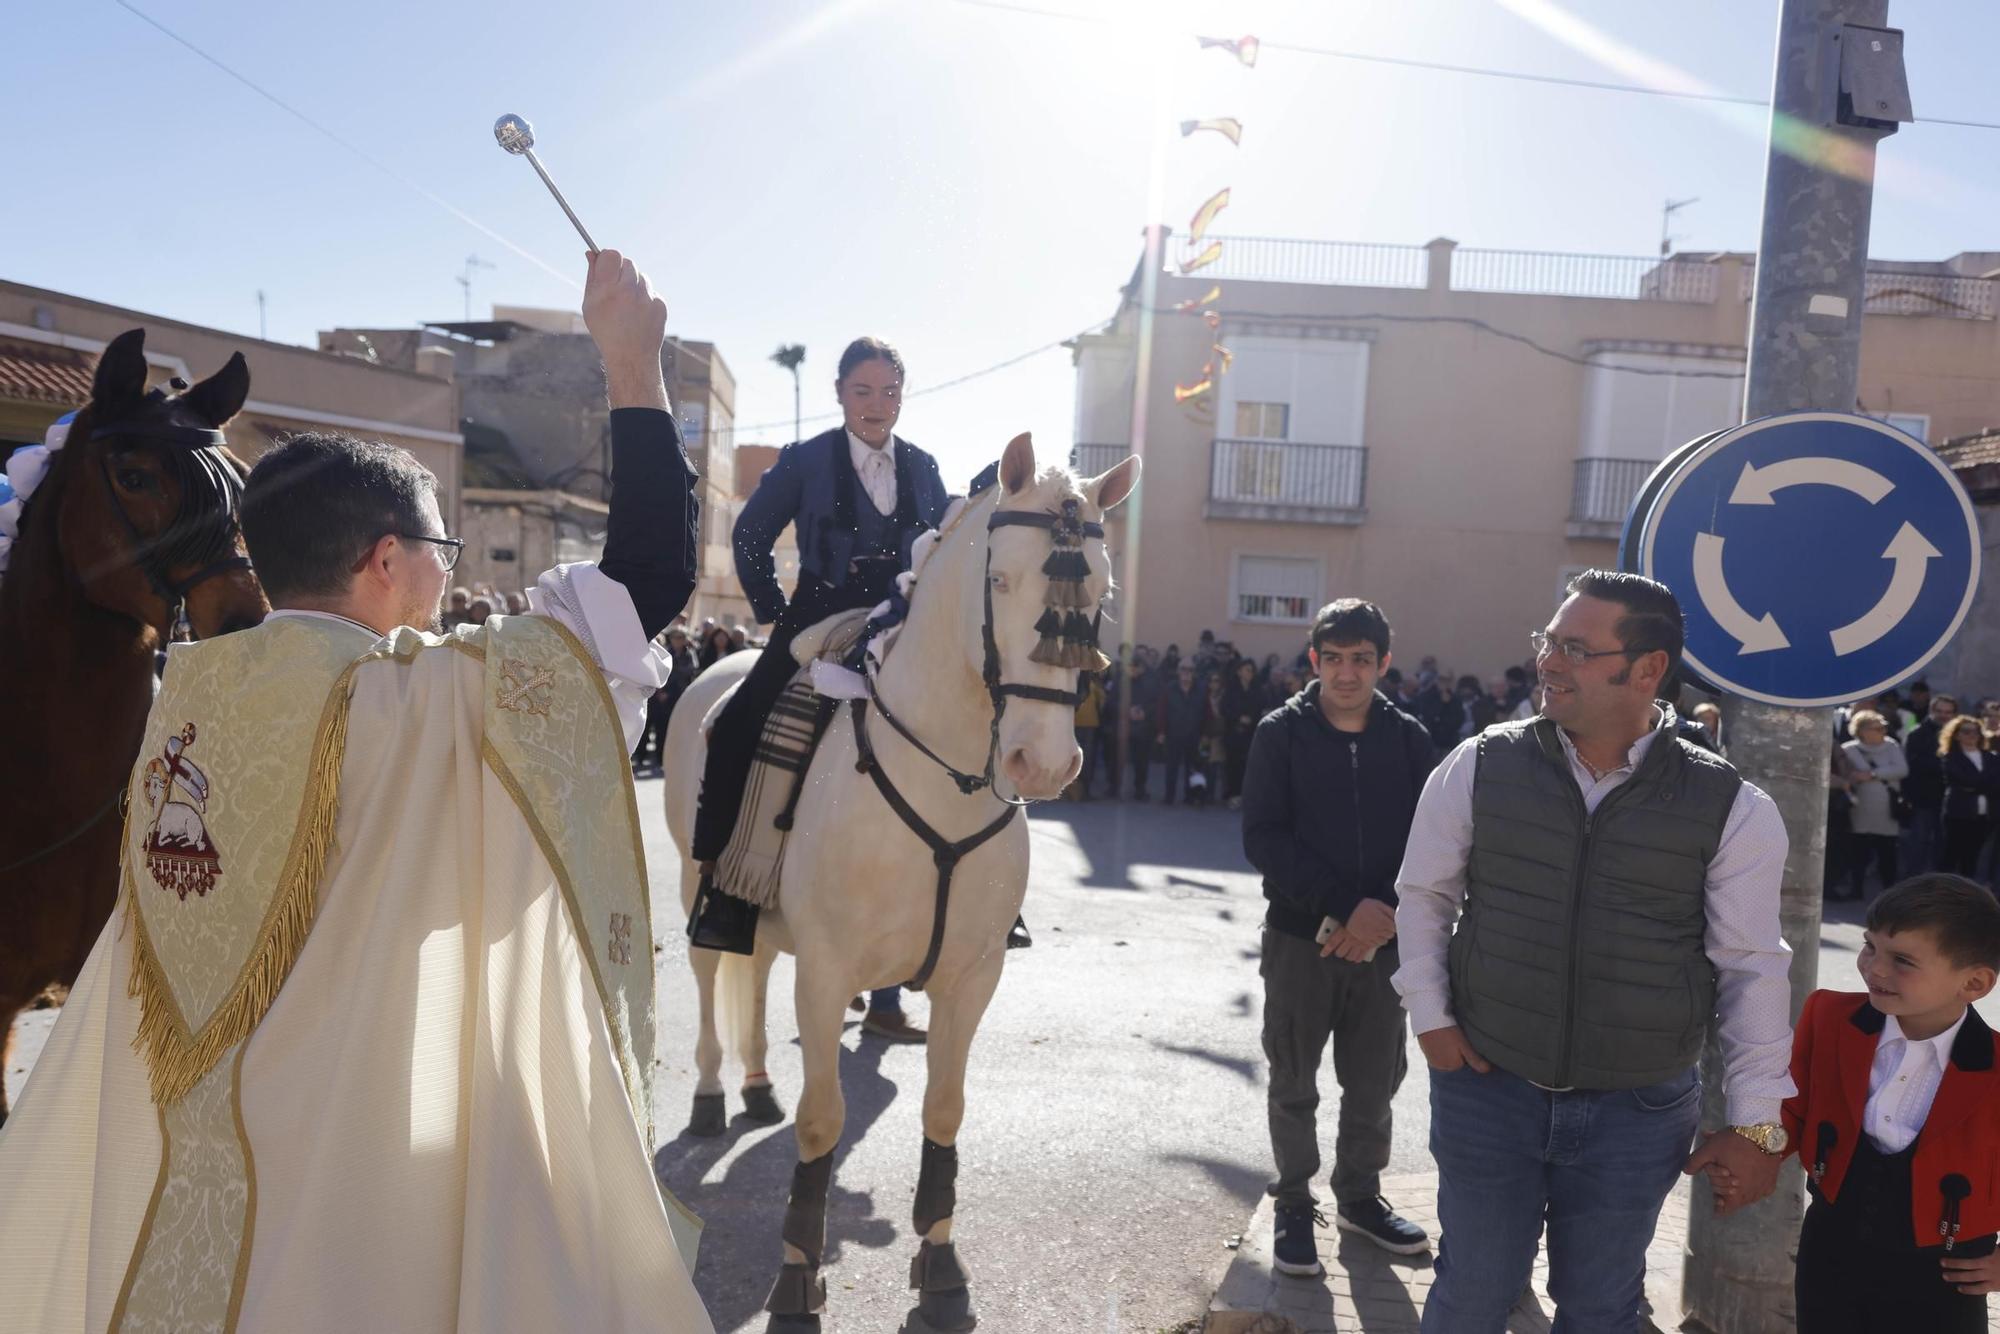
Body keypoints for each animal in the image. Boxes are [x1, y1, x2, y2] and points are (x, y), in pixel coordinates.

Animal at [668, 438, 1144, 1334]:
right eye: (1001, 580)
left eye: (1100, 591)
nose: (1043, 764)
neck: (943, 775)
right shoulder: (828, 973)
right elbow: (823, 1120)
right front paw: (796, 1282)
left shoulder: (972, 977)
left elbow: (944, 1112)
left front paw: (942, 1272)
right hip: (695, 882)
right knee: (714, 972)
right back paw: (714, 1093)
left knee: (757, 972)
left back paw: (756, 1086)